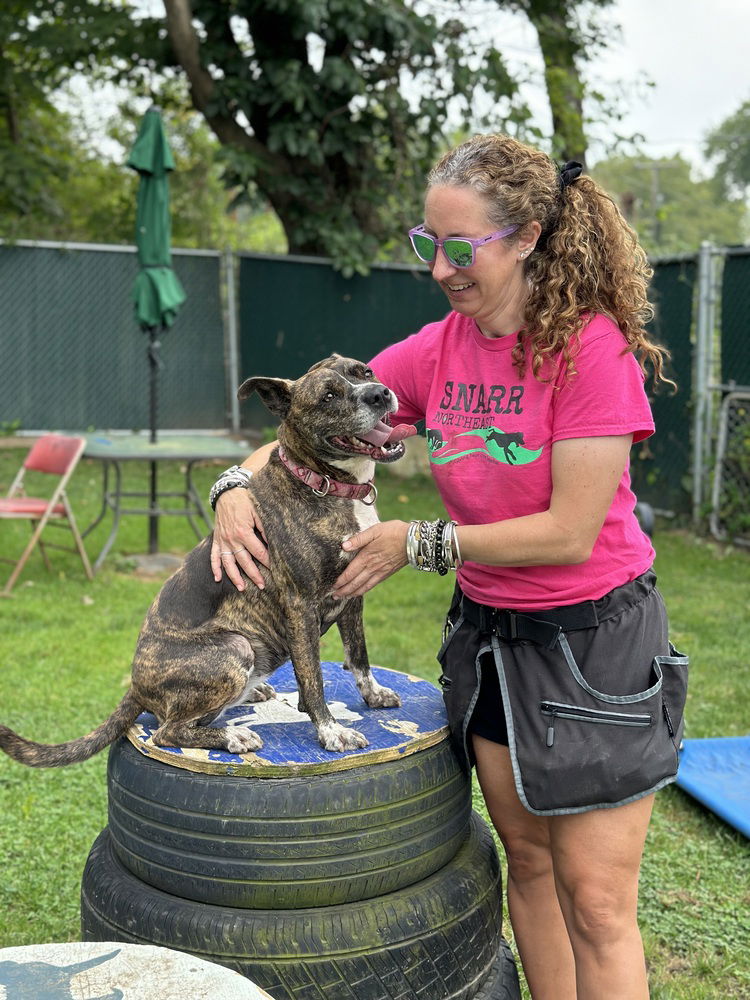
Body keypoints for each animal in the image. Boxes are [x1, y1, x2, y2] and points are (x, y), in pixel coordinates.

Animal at [0, 358, 418, 764]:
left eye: (364, 372)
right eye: (329, 396)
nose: (379, 394)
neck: (323, 483)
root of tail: (135, 686)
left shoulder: (354, 592)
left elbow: (358, 655)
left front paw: (373, 694)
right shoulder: (301, 605)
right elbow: (313, 677)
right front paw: (331, 731)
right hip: (236, 646)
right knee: (169, 730)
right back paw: (233, 736)